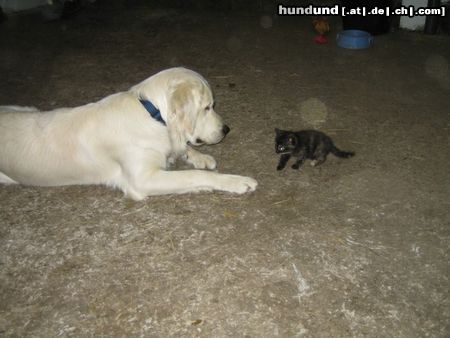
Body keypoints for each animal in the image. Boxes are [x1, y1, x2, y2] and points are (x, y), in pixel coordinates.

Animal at [0, 67, 258, 199]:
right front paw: (236, 181)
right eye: (207, 107)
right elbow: (195, 176)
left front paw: (199, 156)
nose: (226, 129)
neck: (151, 113)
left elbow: (181, 146)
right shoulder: (142, 179)